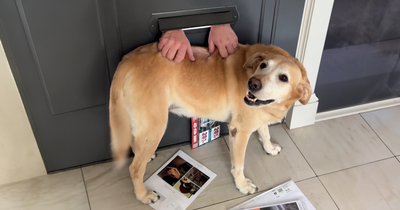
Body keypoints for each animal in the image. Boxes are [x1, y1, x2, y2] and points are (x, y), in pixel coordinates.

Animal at [109, 41, 312, 204]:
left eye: (283, 77)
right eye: (263, 65)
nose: (252, 83)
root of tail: (127, 60)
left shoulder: (258, 115)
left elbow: (265, 133)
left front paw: (269, 148)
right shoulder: (240, 131)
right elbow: (239, 164)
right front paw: (242, 185)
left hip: (145, 127)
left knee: (135, 144)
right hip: (155, 126)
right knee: (135, 168)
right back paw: (143, 195)